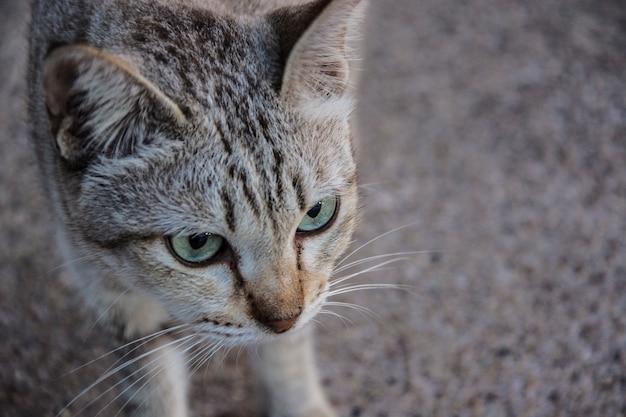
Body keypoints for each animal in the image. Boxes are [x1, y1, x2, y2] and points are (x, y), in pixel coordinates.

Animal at [28, 0, 366, 414]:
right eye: (197, 243)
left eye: (316, 214)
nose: (284, 319)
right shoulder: (106, 284)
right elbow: (152, 386)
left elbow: (288, 353)